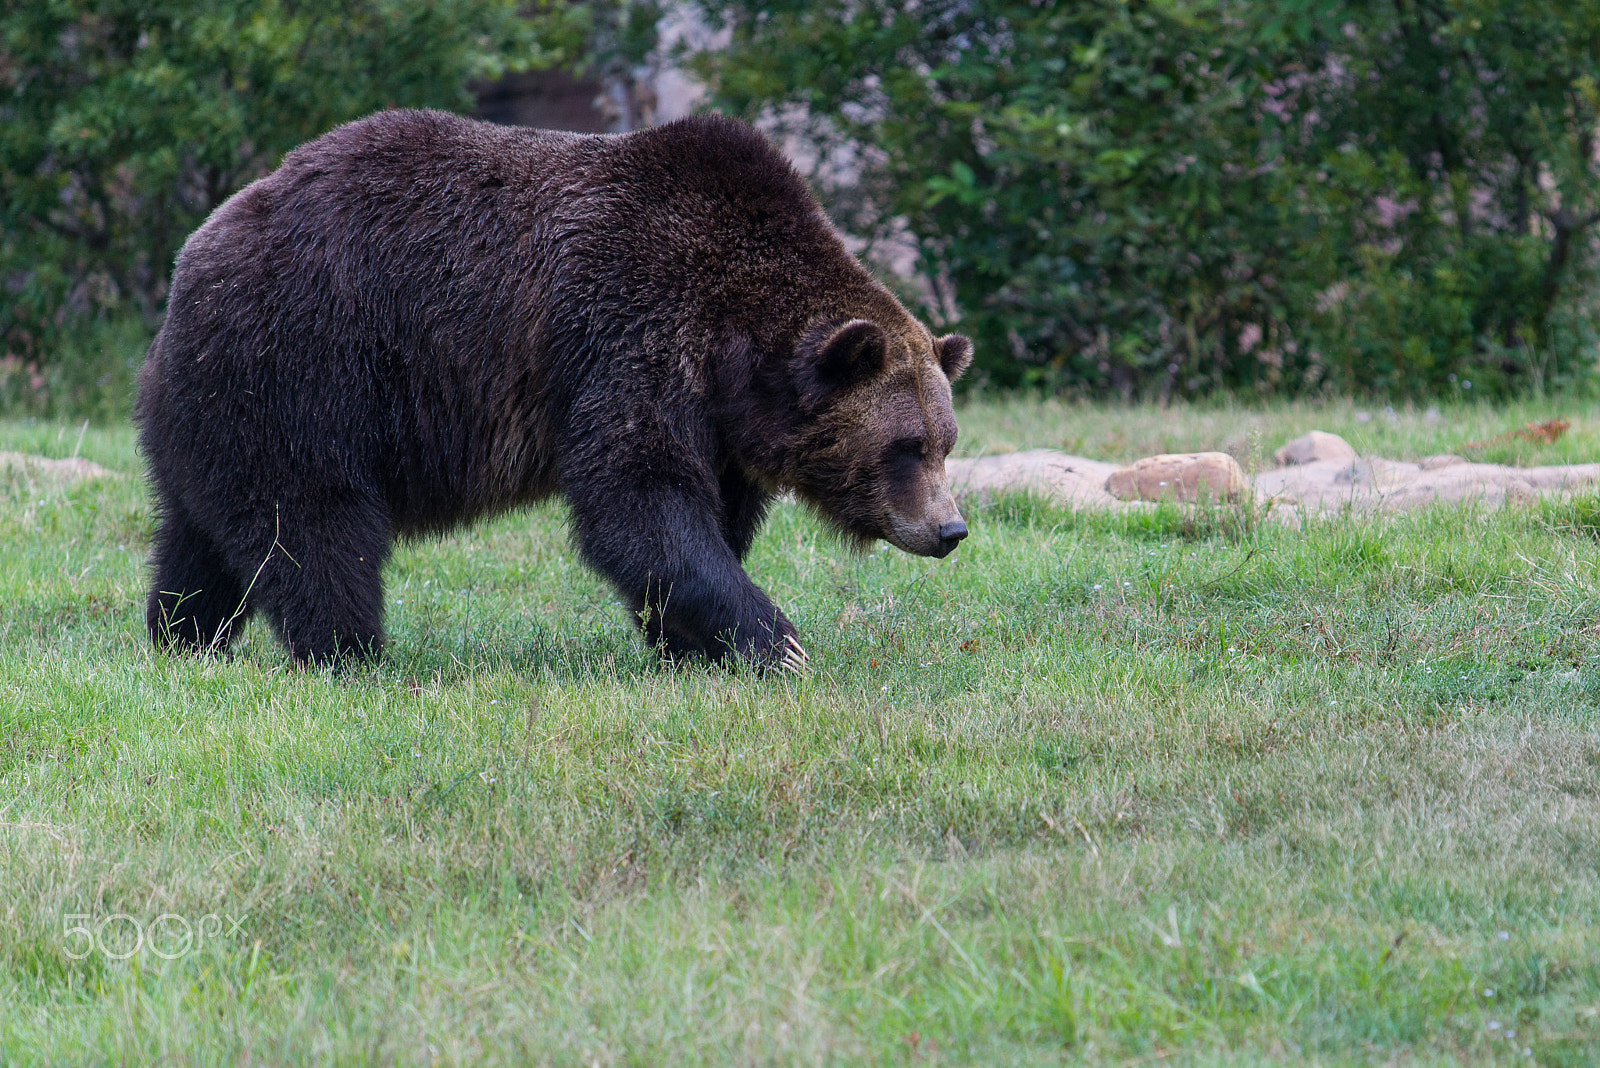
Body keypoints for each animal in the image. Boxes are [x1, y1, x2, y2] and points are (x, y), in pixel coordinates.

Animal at [136, 109, 973, 672]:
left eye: (946, 441)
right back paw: (350, 651)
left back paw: (182, 636)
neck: (733, 349)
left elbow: (702, 518)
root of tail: (190, 261)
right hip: (303, 365)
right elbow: (638, 498)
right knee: (314, 522)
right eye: (906, 446)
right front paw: (775, 641)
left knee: (199, 538)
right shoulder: (626, 331)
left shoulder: (719, 425)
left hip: (214, 407)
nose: (950, 529)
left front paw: (689, 644)